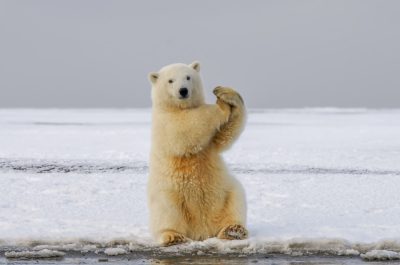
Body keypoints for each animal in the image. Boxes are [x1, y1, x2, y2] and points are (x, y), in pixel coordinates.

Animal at [147, 60, 247, 244]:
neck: (179, 107)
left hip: (225, 191)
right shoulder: (165, 121)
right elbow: (186, 127)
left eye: (188, 77)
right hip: (168, 193)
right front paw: (221, 106)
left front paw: (225, 93)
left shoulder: (211, 143)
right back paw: (173, 236)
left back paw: (233, 230)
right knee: (167, 210)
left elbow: (224, 136)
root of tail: (202, 231)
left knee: (236, 198)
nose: (183, 91)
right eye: (170, 81)